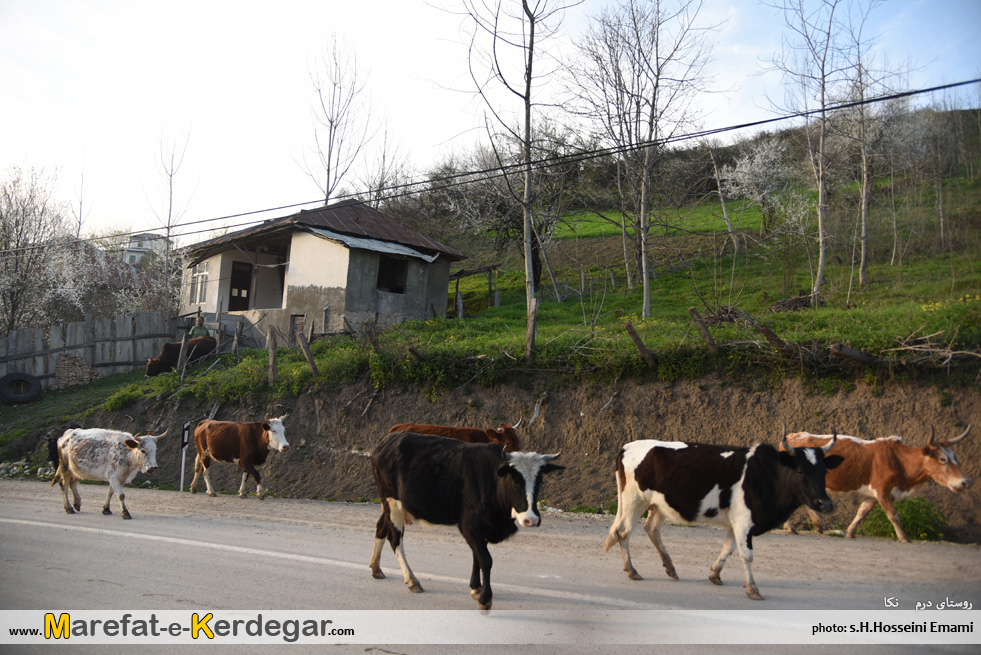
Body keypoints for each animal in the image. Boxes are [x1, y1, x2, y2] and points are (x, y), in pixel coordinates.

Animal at [368, 434, 564, 612]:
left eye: (539, 481)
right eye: (516, 481)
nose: (531, 519)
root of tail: (387, 441)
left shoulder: (483, 526)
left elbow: (477, 556)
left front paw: (476, 588)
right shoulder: (469, 525)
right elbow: (485, 559)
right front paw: (485, 599)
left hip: (390, 507)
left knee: (380, 528)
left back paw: (376, 568)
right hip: (393, 503)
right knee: (395, 539)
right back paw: (412, 580)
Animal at [604, 428, 844, 604]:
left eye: (824, 472)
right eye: (801, 472)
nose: (825, 504)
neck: (765, 476)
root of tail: (628, 446)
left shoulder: (736, 524)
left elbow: (728, 548)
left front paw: (715, 575)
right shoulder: (744, 522)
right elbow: (746, 555)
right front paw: (752, 589)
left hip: (659, 505)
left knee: (651, 529)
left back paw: (670, 567)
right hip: (634, 500)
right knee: (622, 532)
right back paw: (632, 570)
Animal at [784, 426, 968, 544]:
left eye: (956, 459)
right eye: (942, 459)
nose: (965, 482)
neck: (898, 460)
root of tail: (792, 435)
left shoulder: (873, 495)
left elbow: (862, 513)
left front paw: (850, 532)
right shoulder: (882, 490)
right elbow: (893, 515)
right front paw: (904, 537)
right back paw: (804, 525)